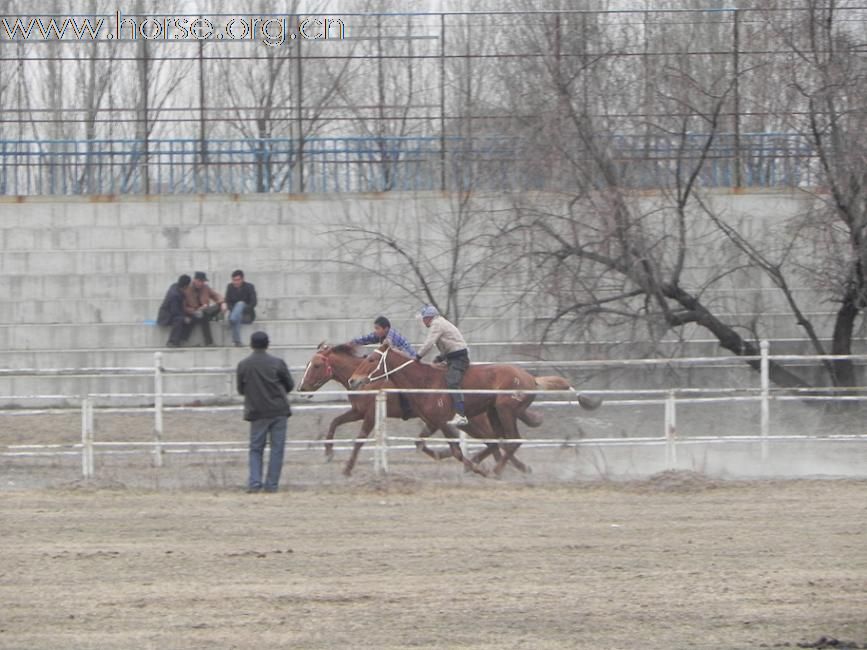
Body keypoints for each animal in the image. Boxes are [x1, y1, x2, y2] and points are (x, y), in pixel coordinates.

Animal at [298, 344, 536, 476]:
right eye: (308, 363)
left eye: (316, 365)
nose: (301, 388)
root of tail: (529, 378)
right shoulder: (358, 412)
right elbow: (334, 422)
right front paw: (328, 453)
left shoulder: (371, 415)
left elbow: (359, 440)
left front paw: (347, 468)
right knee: (497, 441)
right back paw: (514, 467)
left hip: (485, 418)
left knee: (500, 441)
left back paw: (500, 467)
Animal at [350, 342, 600, 474]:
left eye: (371, 359)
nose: (353, 380)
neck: (425, 380)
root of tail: (531, 378)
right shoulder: (433, 422)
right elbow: (427, 444)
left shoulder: (443, 422)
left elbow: (457, 451)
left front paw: (476, 468)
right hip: (494, 412)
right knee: (500, 440)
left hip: (505, 411)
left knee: (512, 440)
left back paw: (496, 471)